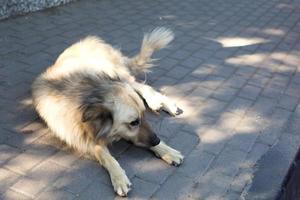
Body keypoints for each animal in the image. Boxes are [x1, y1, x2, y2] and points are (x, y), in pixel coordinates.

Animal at [31, 27, 184, 197]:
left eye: (144, 116)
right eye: (134, 122)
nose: (157, 140)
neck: (89, 97)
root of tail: (90, 40)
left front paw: (166, 150)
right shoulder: (85, 140)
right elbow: (105, 155)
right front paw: (119, 177)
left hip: (116, 74)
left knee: (142, 87)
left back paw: (161, 103)